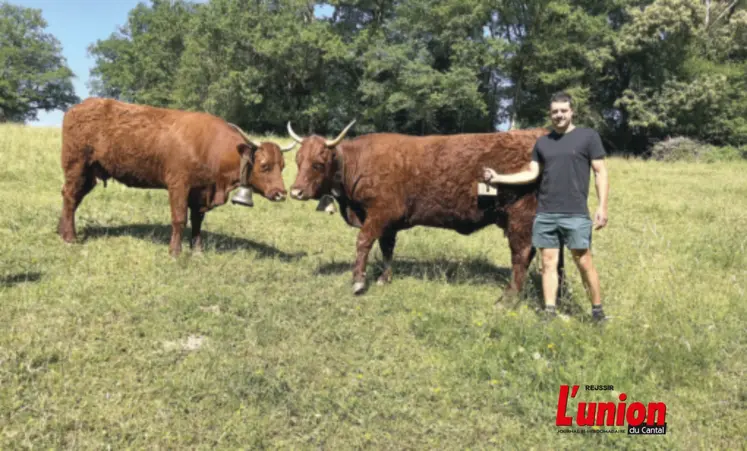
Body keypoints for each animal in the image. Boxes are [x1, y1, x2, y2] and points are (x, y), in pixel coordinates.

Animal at [58, 97, 295, 257]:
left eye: (283, 166)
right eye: (264, 165)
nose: (280, 193)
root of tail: (78, 107)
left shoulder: (201, 191)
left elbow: (198, 221)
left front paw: (198, 250)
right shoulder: (179, 185)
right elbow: (179, 218)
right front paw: (175, 251)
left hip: (90, 174)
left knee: (72, 198)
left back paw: (62, 231)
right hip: (77, 166)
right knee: (70, 196)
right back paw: (70, 238)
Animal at [286, 121, 557, 301]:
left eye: (318, 164)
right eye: (298, 161)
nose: (295, 192)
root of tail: (535, 134)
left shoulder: (380, 213)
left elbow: (363, 242)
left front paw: (359, 281)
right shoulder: (389, 222)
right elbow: (387, 249)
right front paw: (384, 278)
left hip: (520, 217)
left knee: (521, 254)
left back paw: (509, 297)